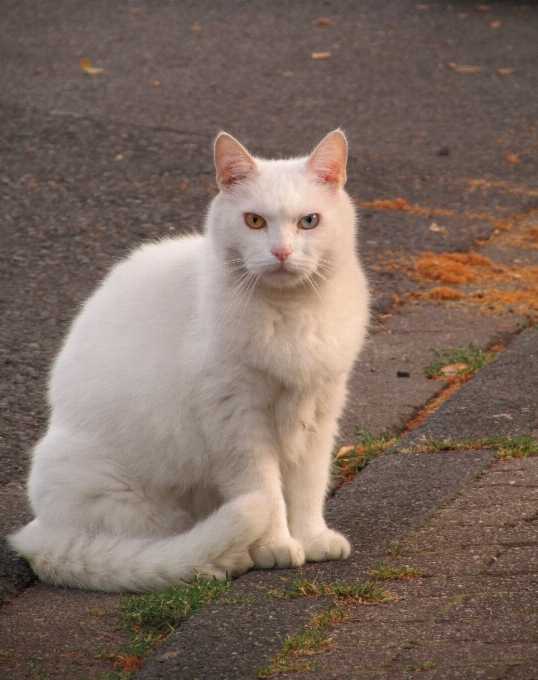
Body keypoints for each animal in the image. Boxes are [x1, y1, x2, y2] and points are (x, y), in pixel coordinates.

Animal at [9, 130, 368, 592]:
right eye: (255, 221)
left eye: (309, 221)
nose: (281, 252)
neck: (291, 312)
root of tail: (40, 532)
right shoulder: (236, 419)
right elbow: (265, 489)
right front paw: (276, 545)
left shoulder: (318, 410)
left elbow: (308, 484)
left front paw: (311, 538)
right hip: (126, 496)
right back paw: (230, 554)